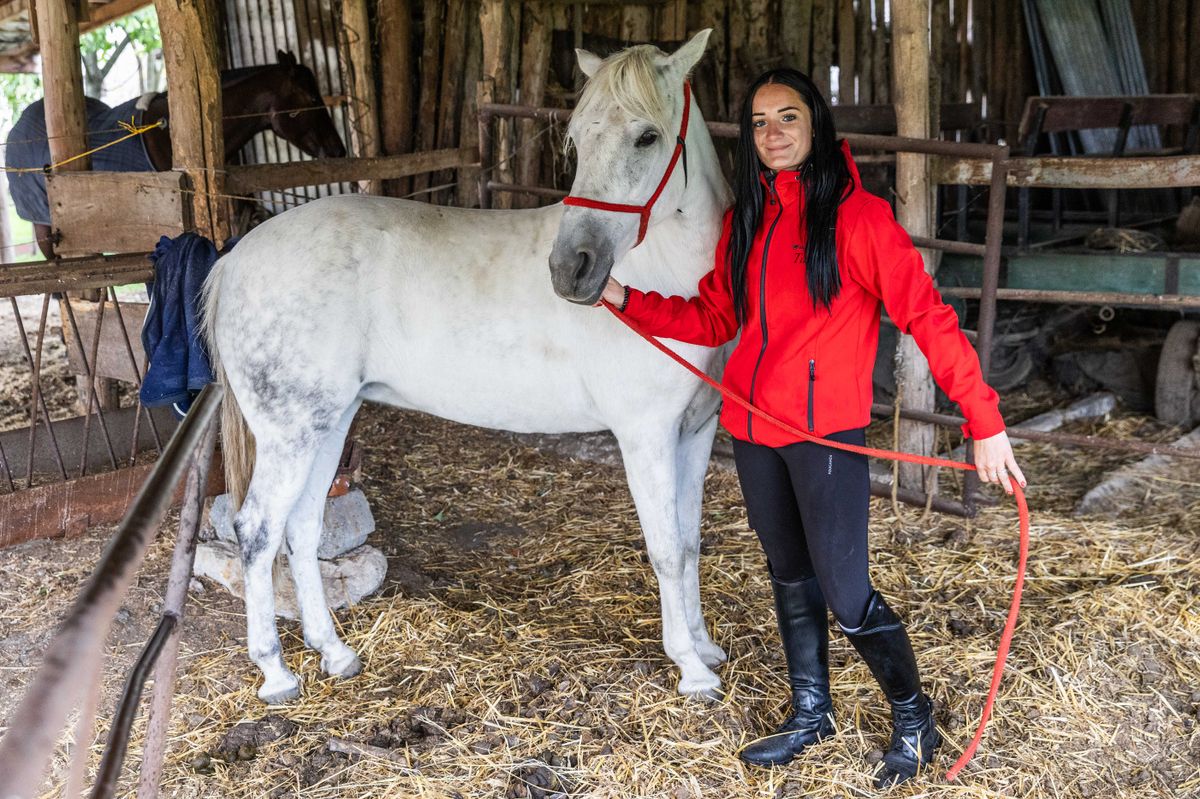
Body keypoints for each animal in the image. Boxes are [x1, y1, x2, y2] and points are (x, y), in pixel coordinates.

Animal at [204, 28, 729, 700]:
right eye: (578, 140)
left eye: (647, 137)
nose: (572, 270)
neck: (666, 277)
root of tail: (234, 259)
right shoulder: (647, 435)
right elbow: (664, 549)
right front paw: (691, 669)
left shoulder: (695, 431)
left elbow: (688, 544)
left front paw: (706, 648)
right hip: (289, 432)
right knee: (259, 531)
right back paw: (274, 671)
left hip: (329, 422)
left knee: (301, 528)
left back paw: (335, 653)